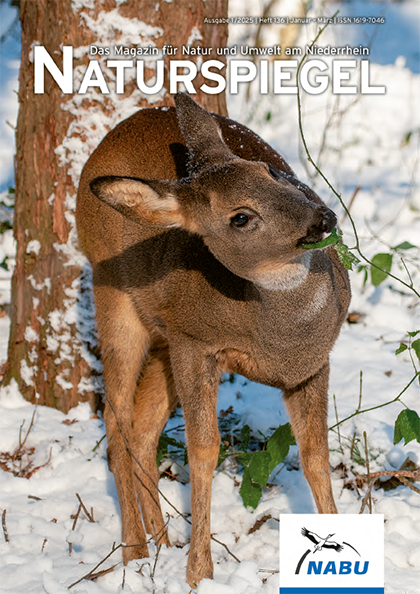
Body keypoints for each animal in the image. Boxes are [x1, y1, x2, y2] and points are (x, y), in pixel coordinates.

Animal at [76, 92, 352, 584]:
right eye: (240, 217)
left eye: (270, 173)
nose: (324, 216)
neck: (281, 338)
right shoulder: (196, 343)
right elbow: (203, 450)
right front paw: (198, 572)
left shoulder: (313, 365)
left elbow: (316, 456)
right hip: (113, 293)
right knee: (115, 414)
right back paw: (135, 550)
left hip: (164, 333)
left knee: (143, 428)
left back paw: (162, 540)